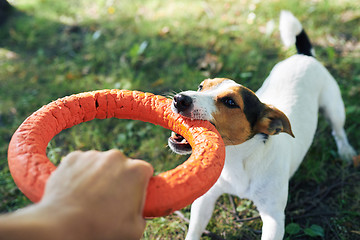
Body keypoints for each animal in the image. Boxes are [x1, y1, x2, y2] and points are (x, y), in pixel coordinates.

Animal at [169, 11, 358, 240]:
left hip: (334, 107)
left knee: (338, 131)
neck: (237, 160)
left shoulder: (274, 217)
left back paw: (346, 151)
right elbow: (195, 228)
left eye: (230, 102)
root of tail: (304, 56)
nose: (180, 99)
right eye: (201, 86)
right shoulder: (205, 199)